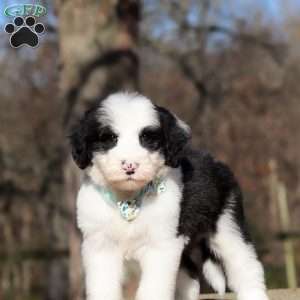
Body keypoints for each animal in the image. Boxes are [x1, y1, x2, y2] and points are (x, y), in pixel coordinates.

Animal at [70, 92, 270, 300]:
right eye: (109, 138)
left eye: (147, 138)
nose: (130, 166)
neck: (128, 199)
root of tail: (218, 163)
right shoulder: (100, 246)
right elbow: (103, 286)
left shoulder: (161, 244)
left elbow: (154, 288)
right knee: (190, 274)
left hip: (227, 225)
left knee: (245, 263)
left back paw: (254, 293)